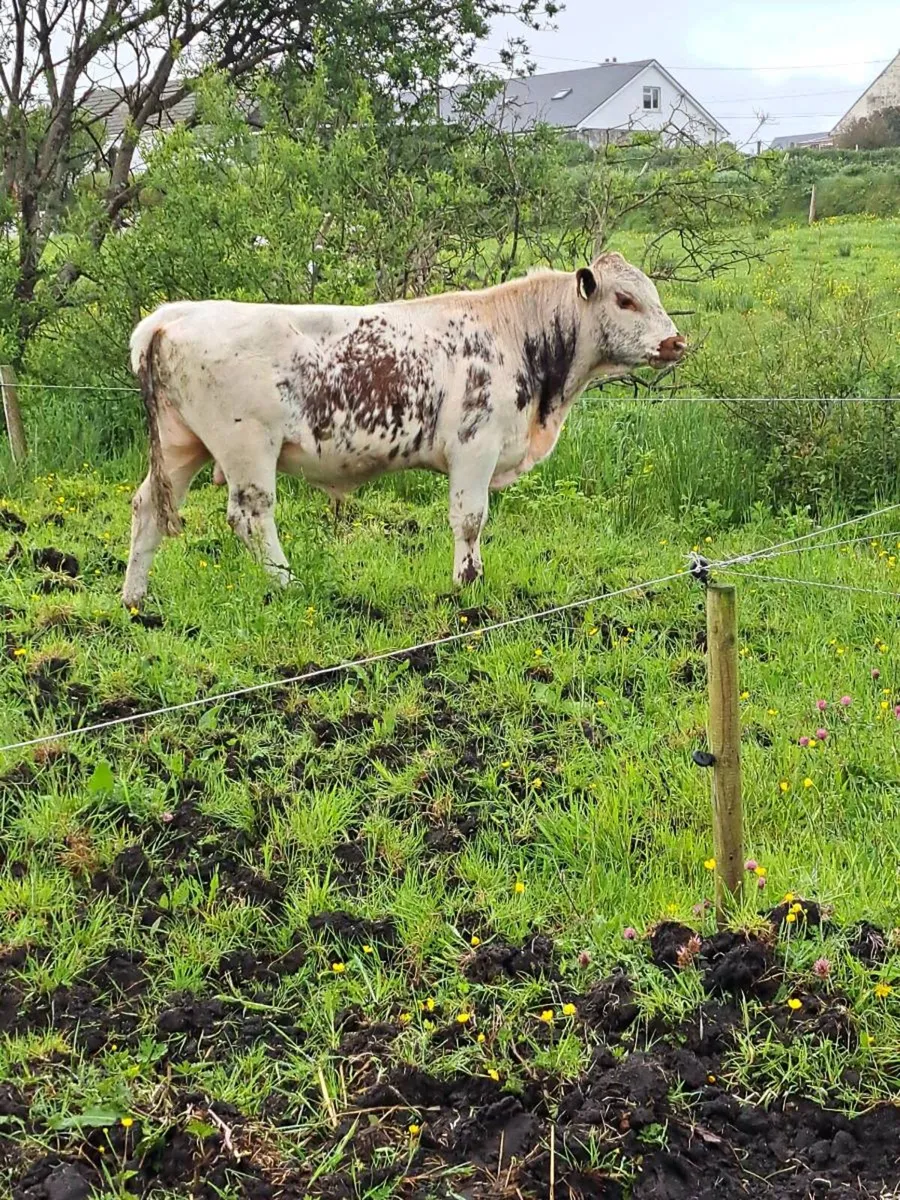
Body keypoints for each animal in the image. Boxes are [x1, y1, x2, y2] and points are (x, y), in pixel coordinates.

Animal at [122, 252, 685, 608]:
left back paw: (135, 599)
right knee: (250, 516)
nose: (676, 342)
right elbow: (469, 519)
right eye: (625, 300)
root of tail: (172, 316)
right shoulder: (475, 447)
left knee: (148, 505)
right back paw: (287, 584)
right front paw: (467, 585)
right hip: (246, 447)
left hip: (183, 445)